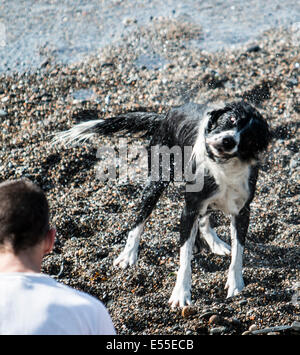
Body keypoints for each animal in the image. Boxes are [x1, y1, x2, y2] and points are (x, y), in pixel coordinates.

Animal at [55, 101, 270, 308]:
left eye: (250, 137)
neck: (223, 166)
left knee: (204, 218)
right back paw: (128, 255)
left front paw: (236, 284)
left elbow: (238, 251)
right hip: (157, 181)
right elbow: (184, 256)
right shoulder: (190, 208)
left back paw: (215, 243)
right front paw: (181, 293)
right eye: (231, 119)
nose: (228, 140)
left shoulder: (242, 211)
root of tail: (167, 114)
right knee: (139, 219)